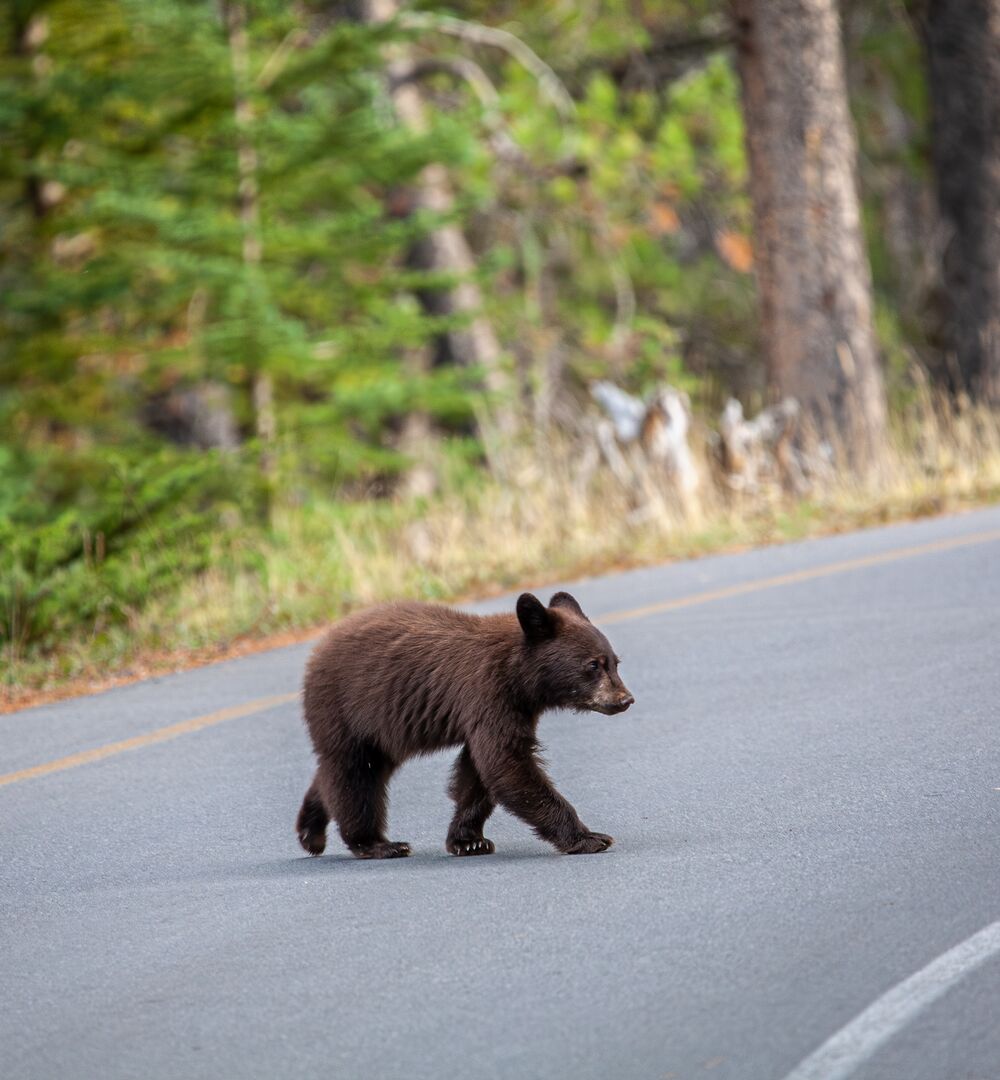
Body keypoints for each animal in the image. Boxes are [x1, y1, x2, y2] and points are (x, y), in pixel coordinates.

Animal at [295, 590, 634, 859]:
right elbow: (506, 763)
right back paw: (376, 844)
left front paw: (468, 840)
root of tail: (317, 650)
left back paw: (310, 833)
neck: (519, 675)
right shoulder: (489, 695)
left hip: (376, 731)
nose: (625, 699)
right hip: (346, 709)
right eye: (593, 665)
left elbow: (478, 771)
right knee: (354, 775)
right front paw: (589, 837)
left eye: (615, 662)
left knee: (342, 772)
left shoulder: (512, 709)